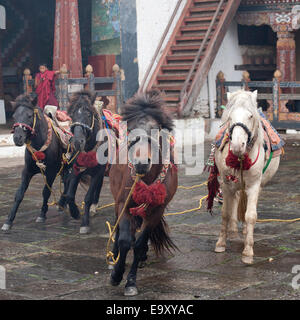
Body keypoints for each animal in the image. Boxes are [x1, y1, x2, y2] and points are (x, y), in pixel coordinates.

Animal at [1, 94, 68, 231]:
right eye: (14, 116)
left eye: (29, 115)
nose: (17, 138)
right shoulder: (27, 170)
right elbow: (19, 194)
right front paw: (8, 221)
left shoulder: (51, 171)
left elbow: (46, 192)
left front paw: (42, 214)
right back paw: (62, 204)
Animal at [66, 91, 107, 234]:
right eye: (72, 115)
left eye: (89, 114)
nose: (78, 142)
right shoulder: (76, 168)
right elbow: (69, 195)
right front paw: (75, 213)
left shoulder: (98, 171)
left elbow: (87, 197)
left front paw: (84, 224)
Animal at [108, 89, 177, 296]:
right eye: (131, 130)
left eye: (155, 130)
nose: (141, 163)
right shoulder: (125, 204)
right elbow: (124, 240)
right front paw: (116, 275)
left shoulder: (156, 210)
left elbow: (138, 244)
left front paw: (131, 282)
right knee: (120, 230)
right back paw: (113, 256)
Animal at [213, 89, 282, 264]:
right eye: (230, 116)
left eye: (250, 116)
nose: (237, 146)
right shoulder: (226, 184)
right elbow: (225, 213)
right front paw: (221, 244)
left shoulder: (254, 185)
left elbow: (250, 216)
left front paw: (248, 252)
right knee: (236, 200)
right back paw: (233, 230)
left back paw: (244, 232)